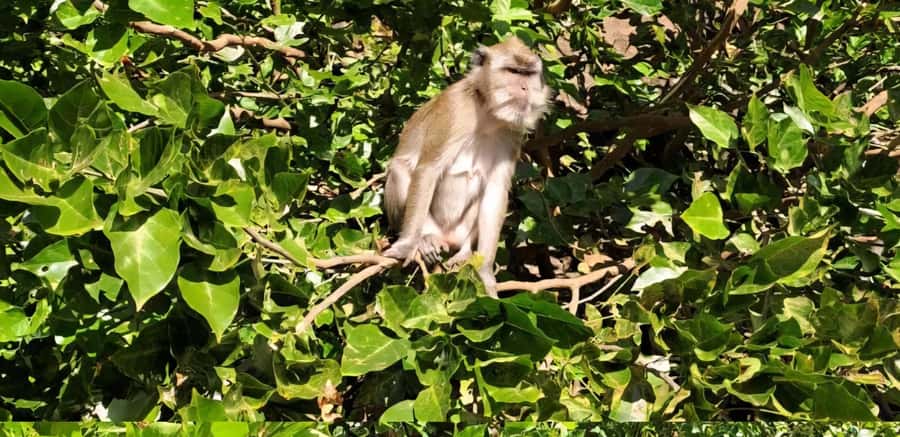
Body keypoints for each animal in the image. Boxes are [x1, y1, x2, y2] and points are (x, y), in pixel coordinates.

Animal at [382, 36, 552, 297]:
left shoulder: (512, 133)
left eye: (528, 74)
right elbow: (428, 170)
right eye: (513, 71)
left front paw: (485, 271)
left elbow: (495, 190)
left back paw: (464, 251)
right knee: (400, 171)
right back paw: (425, 240)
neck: (488, 113)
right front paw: (406, 245)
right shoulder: (454, 110)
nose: (525, 88)